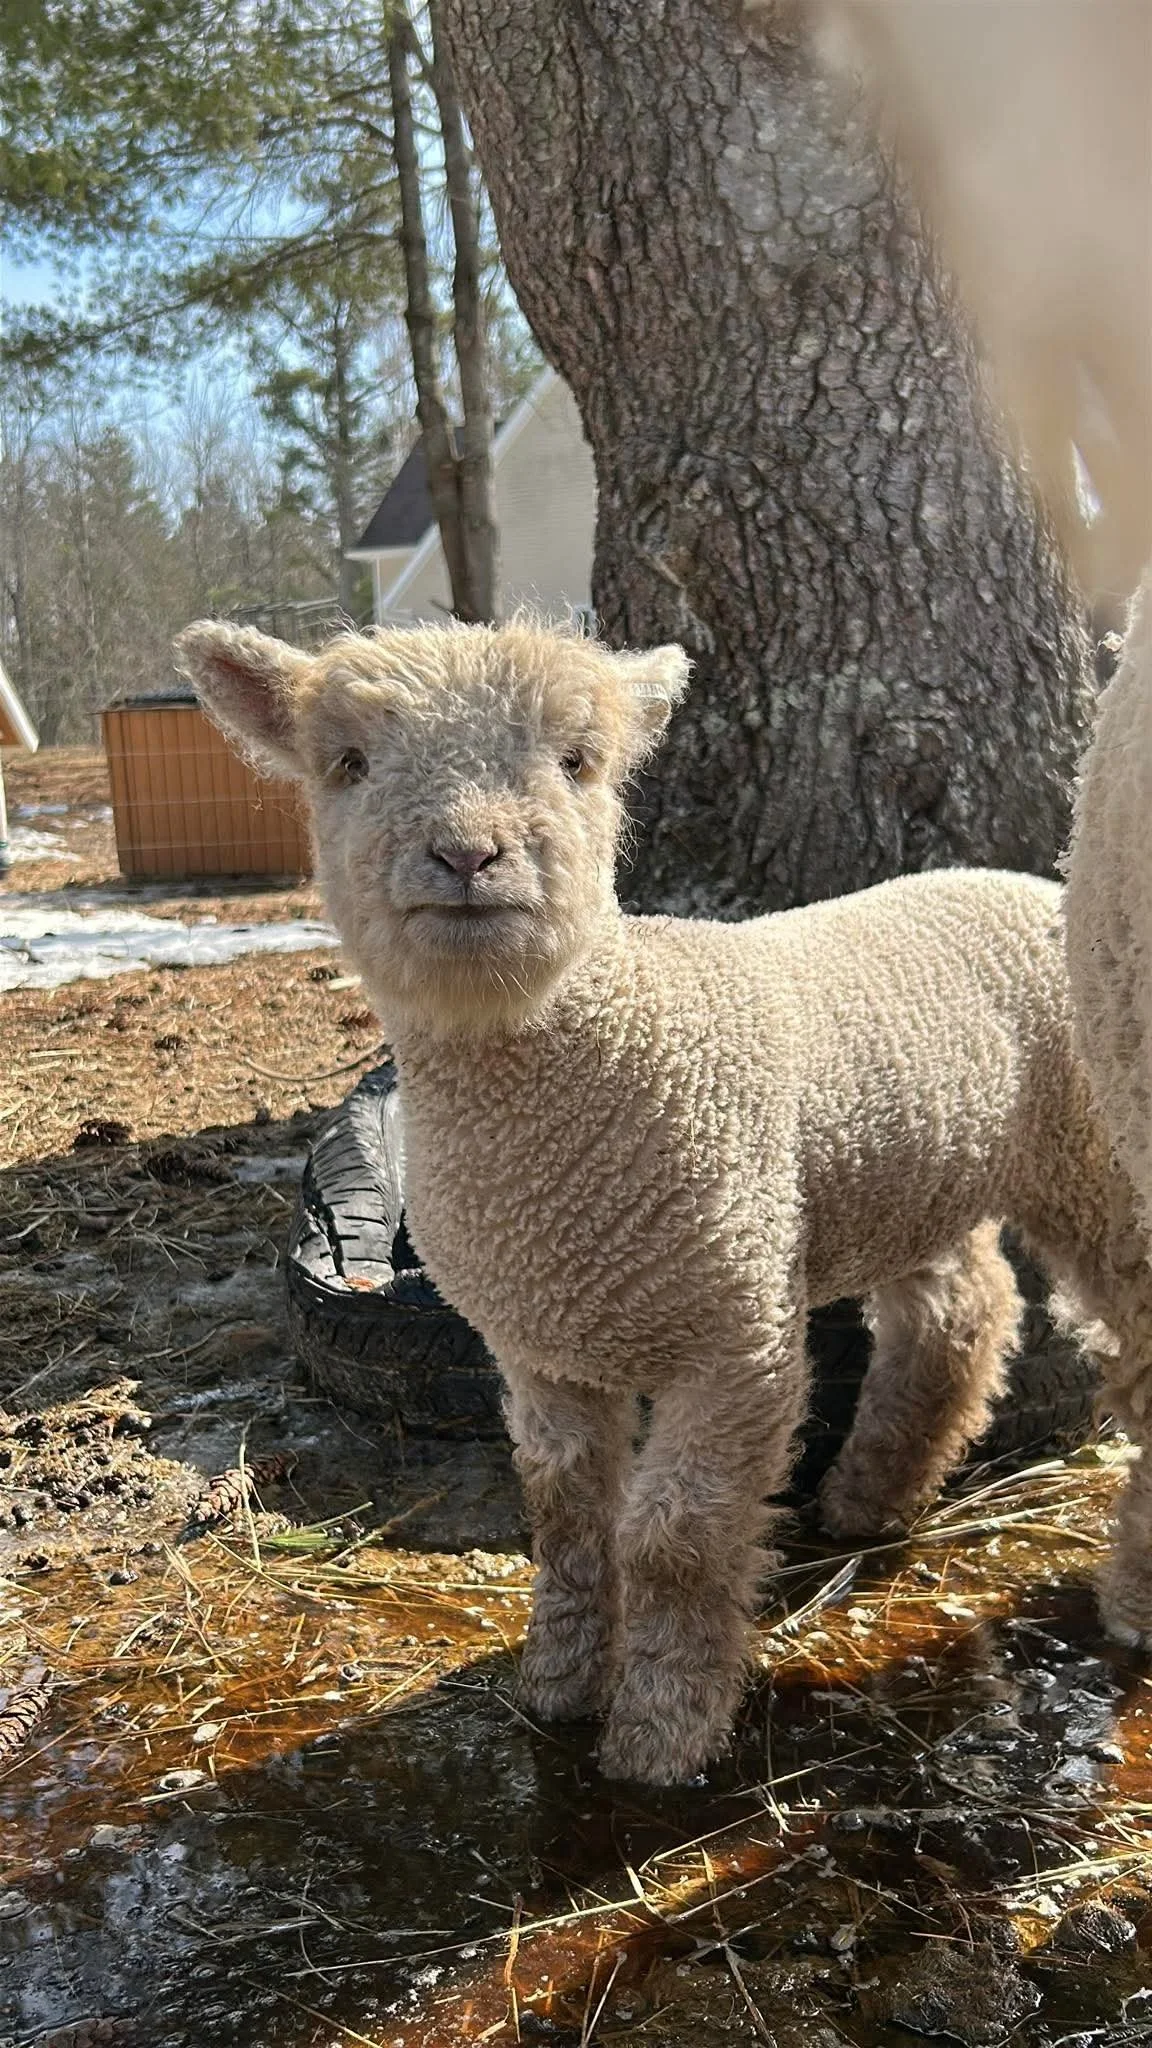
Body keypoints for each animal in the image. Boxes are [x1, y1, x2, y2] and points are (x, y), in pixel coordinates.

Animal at [176, 615, 1151, 1784]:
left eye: (578, 761)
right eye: (348, 764)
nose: (467, 857)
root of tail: (1019, 881)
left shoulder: (735, 1337)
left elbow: (674, 1537)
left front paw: (661, 1732)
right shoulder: (538, 1344)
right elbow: (563, 1518)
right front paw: (556, 1683)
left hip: (1091, 1160)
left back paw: (1131, 1593)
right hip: (890, 1177)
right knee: (961, 1310)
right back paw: (871, 1494)